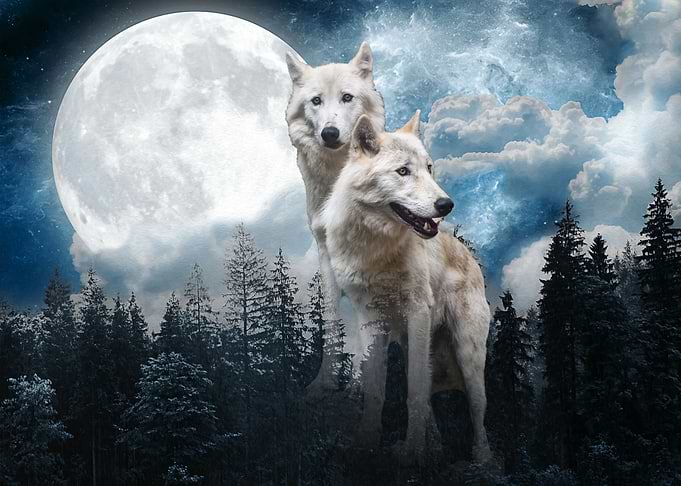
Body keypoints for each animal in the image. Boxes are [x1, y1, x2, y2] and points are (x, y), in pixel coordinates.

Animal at [285, 42, 385, 392]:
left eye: (346, 97)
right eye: (316, 101)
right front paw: (325, 383)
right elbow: (330, 320)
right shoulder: (326, 255)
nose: (330, 133)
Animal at [322, 111, 492, 463]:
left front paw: (413, 453)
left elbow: (412, 392)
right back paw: (435, 448)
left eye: (429, 168)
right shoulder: (369, 321)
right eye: (403, 171)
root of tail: (473, 260)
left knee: (477, 410)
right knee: (428, 399)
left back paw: (481, 459)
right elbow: (376, 390)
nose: (446, 204)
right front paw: (367, 444)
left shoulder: (417, 312)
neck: (376, 248)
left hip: (467, 356)